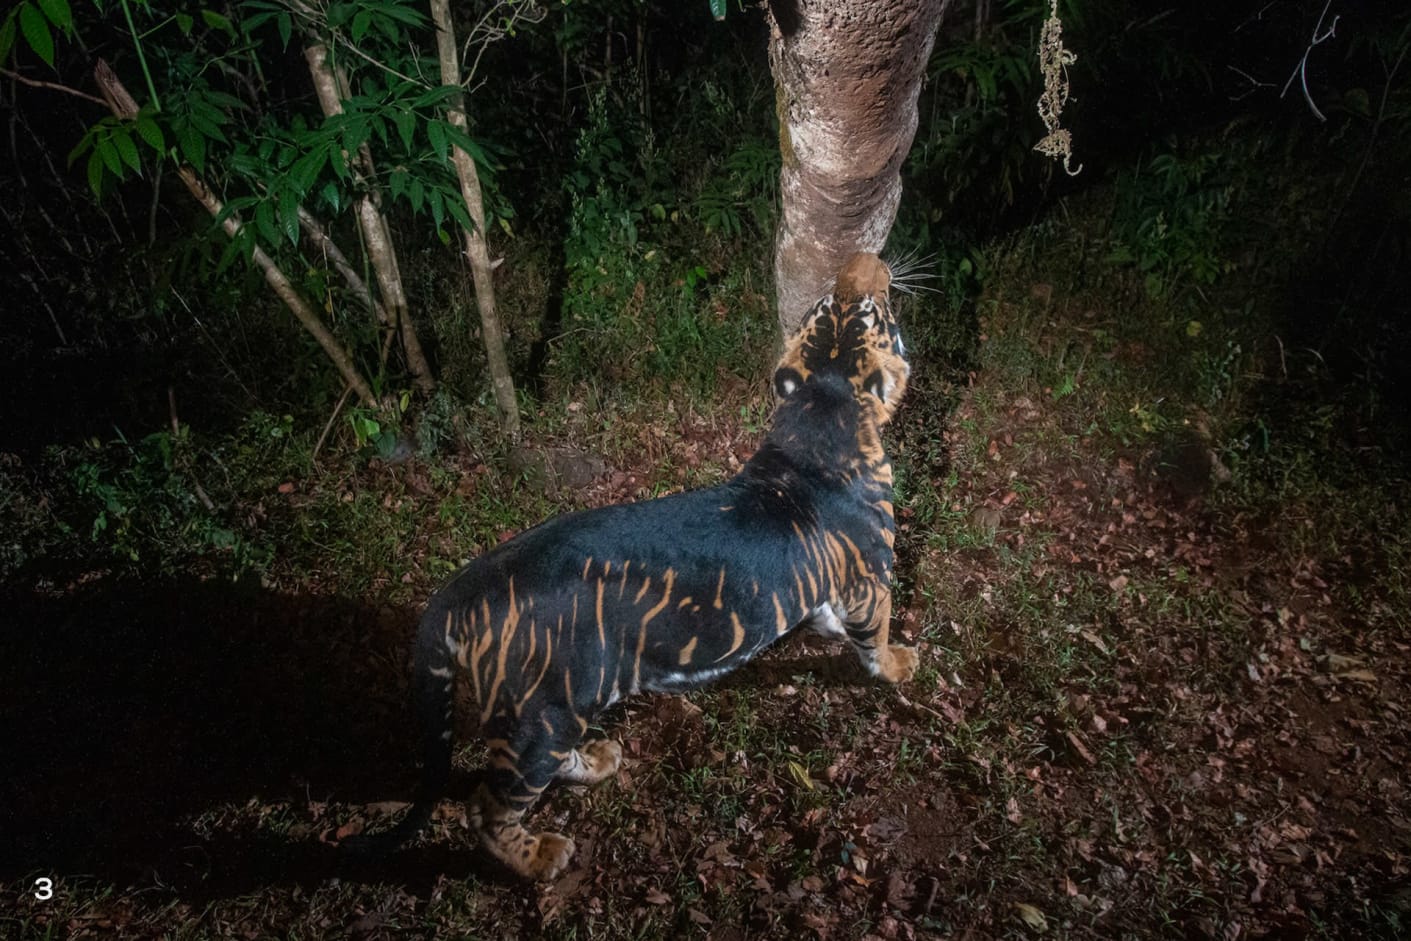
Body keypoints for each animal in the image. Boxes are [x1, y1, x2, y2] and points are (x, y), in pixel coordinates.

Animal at [345, 252, 916, 881]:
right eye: (868, 311)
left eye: (830, 305)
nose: (861, 261)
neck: (822, 409)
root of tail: (463, 587)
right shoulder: (873, 577)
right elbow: (873, 637)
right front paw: (898, 664)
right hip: (538, 715)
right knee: (487, 808)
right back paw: (542, 855)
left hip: (552, 715)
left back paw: (598, 760)